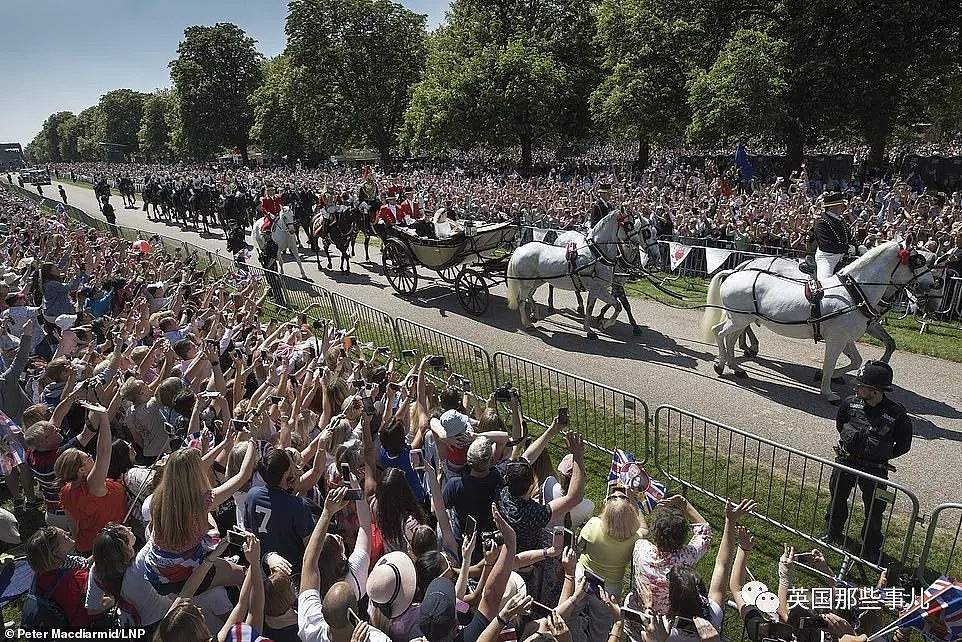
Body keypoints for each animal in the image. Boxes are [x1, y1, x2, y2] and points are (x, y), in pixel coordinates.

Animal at [506, 211, 632, 340]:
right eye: (629, 225)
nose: (635, 244)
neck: (596, 255)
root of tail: (520, 248)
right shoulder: (596, 288)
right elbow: (594, 308)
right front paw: (593, 329)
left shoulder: (599, 289)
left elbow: (614, 306)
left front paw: (600, 325)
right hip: (526, 283)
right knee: (521, 300)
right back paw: (527, 324)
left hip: (537, 281)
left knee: (529, 295)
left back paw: (535, 315)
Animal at [696, 240, 928, 400]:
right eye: (918, 260)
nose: (930, 284)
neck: (853, 292)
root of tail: (734, 271)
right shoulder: (836, 339)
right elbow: (830, 363)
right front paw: (827, 391)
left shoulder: (846, 338)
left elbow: (855, 361)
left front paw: (829, 376)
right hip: (737, 319)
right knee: (719, 332)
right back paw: (722, 364)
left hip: (740, 319)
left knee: (731, 338)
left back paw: (735, 366)